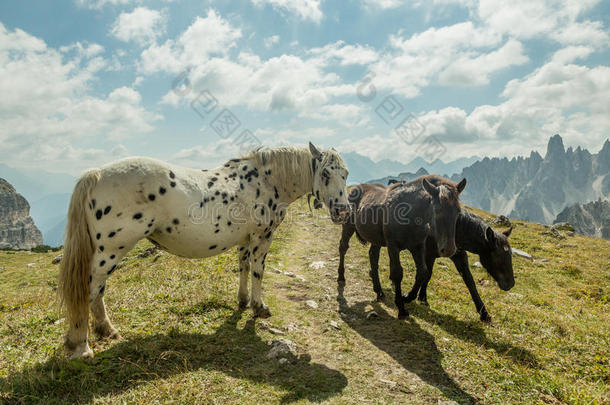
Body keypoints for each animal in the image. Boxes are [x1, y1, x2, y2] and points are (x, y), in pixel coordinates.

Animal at [60, 142, 352, 356]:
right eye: (325, 173)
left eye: (346, 174)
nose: (342, 211)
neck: (267, 180)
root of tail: (97, 173)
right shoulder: (262, 237)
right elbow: (258, 271)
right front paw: (259, 307)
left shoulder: (245, 240)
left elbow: (244, 267)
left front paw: (243, 301)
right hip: (109, 252)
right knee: (90, 291)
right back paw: (83, 347)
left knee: (96, 293)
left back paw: (106, 331)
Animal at [338, 178, 512, 320]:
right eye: (498, 257)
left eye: (458, 212)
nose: (510, 284)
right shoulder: (407, 249)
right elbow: (407, 273)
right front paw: (406, 302)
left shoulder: (433, 250)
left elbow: (437, 275)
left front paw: (484, 313)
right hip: (349, 227)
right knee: (343, 248)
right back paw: (341, 277)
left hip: (377, 239)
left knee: (373, 256)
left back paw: (379, 290)